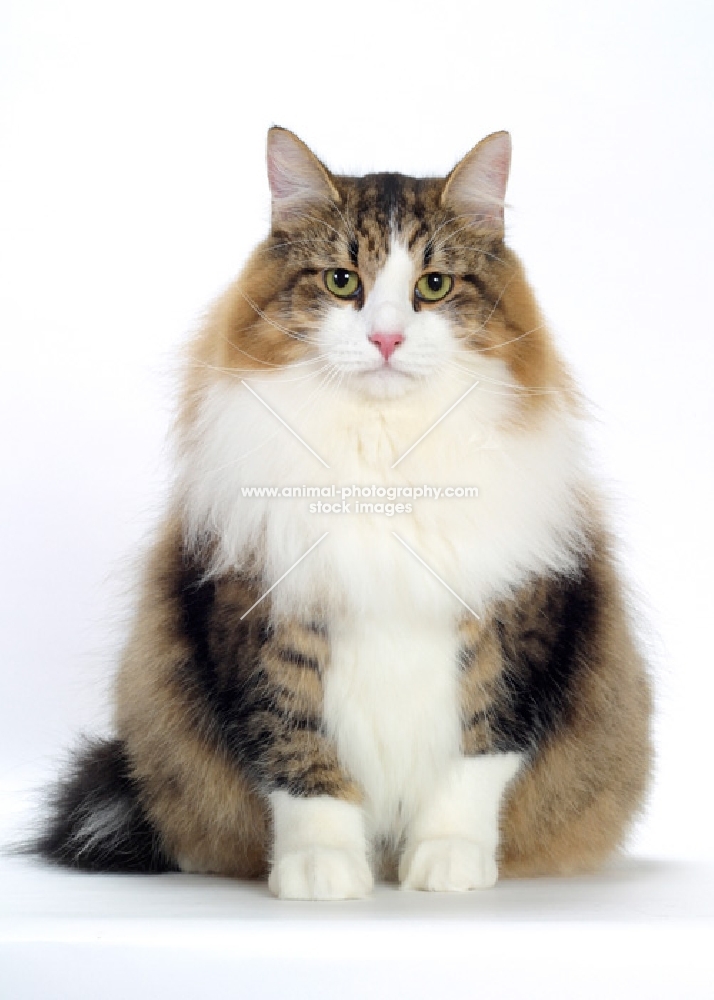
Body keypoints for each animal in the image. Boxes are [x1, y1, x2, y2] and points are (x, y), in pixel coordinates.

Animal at [34, 125, 652, 900]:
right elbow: (299, 758)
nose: (385, 339)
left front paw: (449, 862)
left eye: (433, 286)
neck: (382, 457)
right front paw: (319, 871)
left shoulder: (517, 626)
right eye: (340, 281)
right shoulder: (269, 615)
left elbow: (478, 756)